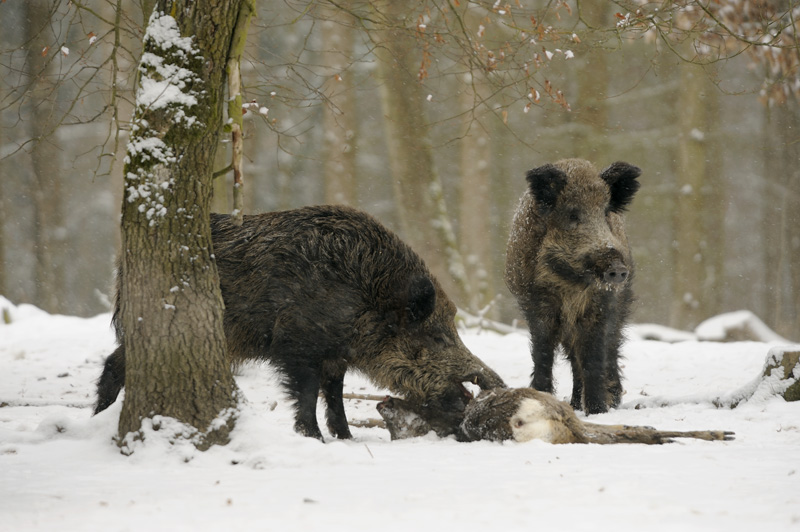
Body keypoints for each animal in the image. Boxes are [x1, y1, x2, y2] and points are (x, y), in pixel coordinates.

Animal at [94, 205, 506, 440]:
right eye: (437, 337)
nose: (496, 382)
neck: (366, 299)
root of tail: (121, 265)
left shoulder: (335, 356)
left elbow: (334, 394)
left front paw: (345, 438)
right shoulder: (298, 345)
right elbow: (307, 393)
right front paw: (313, 438)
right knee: (116, 362)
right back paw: (100, 415)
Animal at [505, 159, 641, 414]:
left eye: (605, 212)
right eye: (573, 214)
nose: (617, 269)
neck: (571, 284)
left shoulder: (600, 304)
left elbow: (593, 357)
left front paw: (598, 411)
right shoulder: (536, 303)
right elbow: (542, 354)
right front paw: (541, 398)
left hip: (621, 304)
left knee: (608, 347)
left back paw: (605, 401)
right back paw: (576, 404)